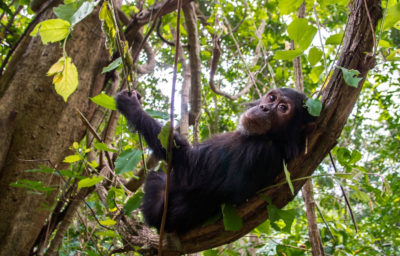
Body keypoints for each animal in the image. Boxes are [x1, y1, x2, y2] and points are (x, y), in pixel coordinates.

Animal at [115, 88, 316, 234]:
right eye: (272, 98)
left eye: (282, 108)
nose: (265, 108)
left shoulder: (259, 152)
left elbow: (188, 163)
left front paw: (132, 106)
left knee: (155, 178)